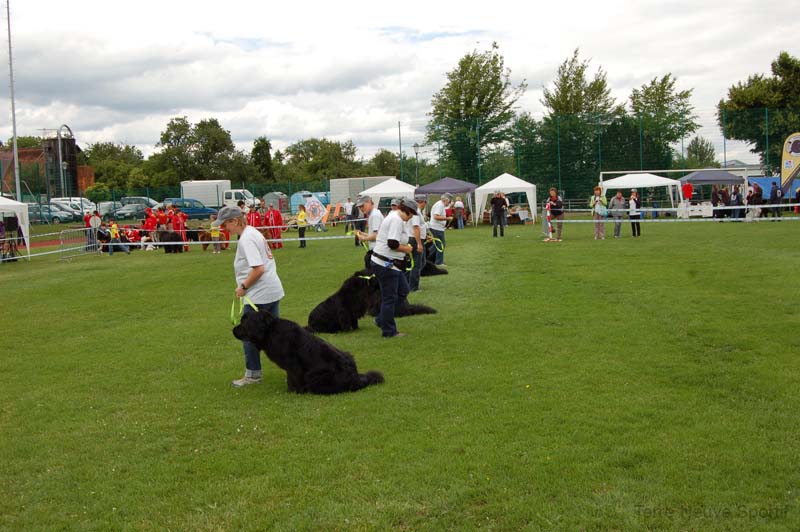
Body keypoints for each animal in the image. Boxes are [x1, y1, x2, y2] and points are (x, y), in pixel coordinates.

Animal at [231, 312, 384, 394]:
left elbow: (293, 377)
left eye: (243, 324)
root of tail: (356, 377)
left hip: (314, 375)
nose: (233, 329)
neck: (269, 331)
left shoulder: (293, 364)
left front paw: (294, 391)